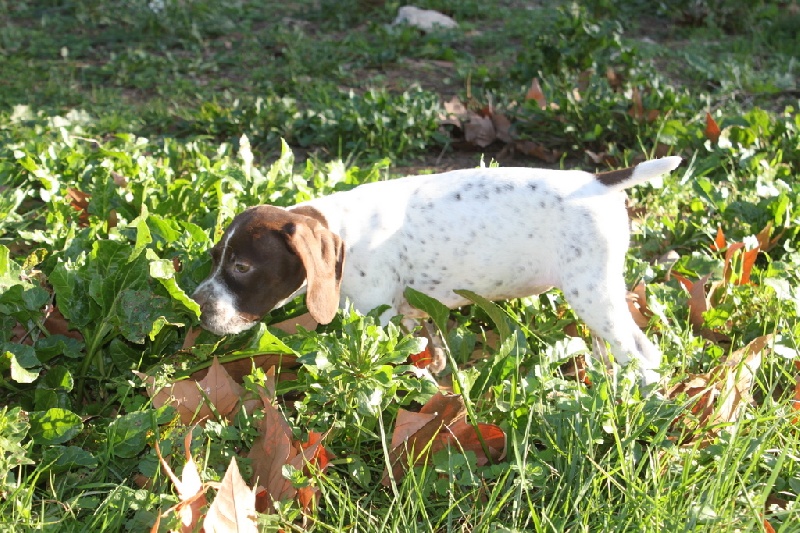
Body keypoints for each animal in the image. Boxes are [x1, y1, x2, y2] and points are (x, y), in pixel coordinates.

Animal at [192, 156, 680, 384]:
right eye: (215, 256)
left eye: (241, 266)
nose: (197, 307)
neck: (343, 231)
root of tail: (598, 181)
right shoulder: (409, 313)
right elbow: (427, 352)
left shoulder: (381, 315)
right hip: (599, 295)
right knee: (631, 350)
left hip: (590, 292)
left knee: (642, 355)